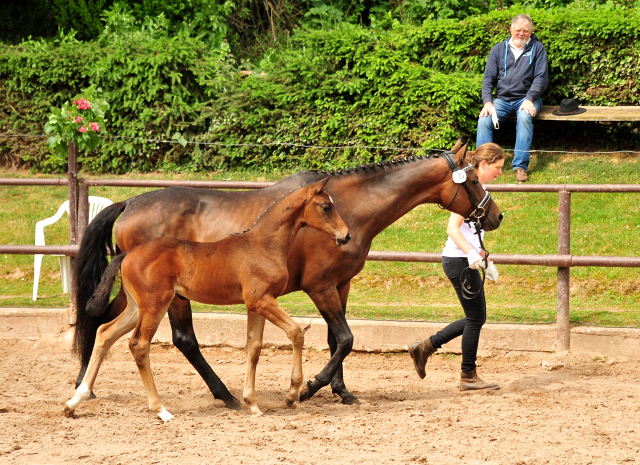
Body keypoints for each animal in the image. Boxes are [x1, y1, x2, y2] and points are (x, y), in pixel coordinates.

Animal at [65, 178, 350, 420]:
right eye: (326, 207)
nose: (346, 235)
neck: (264, 244)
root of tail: (127, 255)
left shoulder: (256, 305)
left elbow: (254, 348)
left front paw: (252, 404)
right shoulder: (262, 301)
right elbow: (296, 332)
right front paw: (292, 394)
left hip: (137, 307)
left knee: (105, 332)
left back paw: (75, 401)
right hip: (156, 306)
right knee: (139, 345)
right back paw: (160, 409)